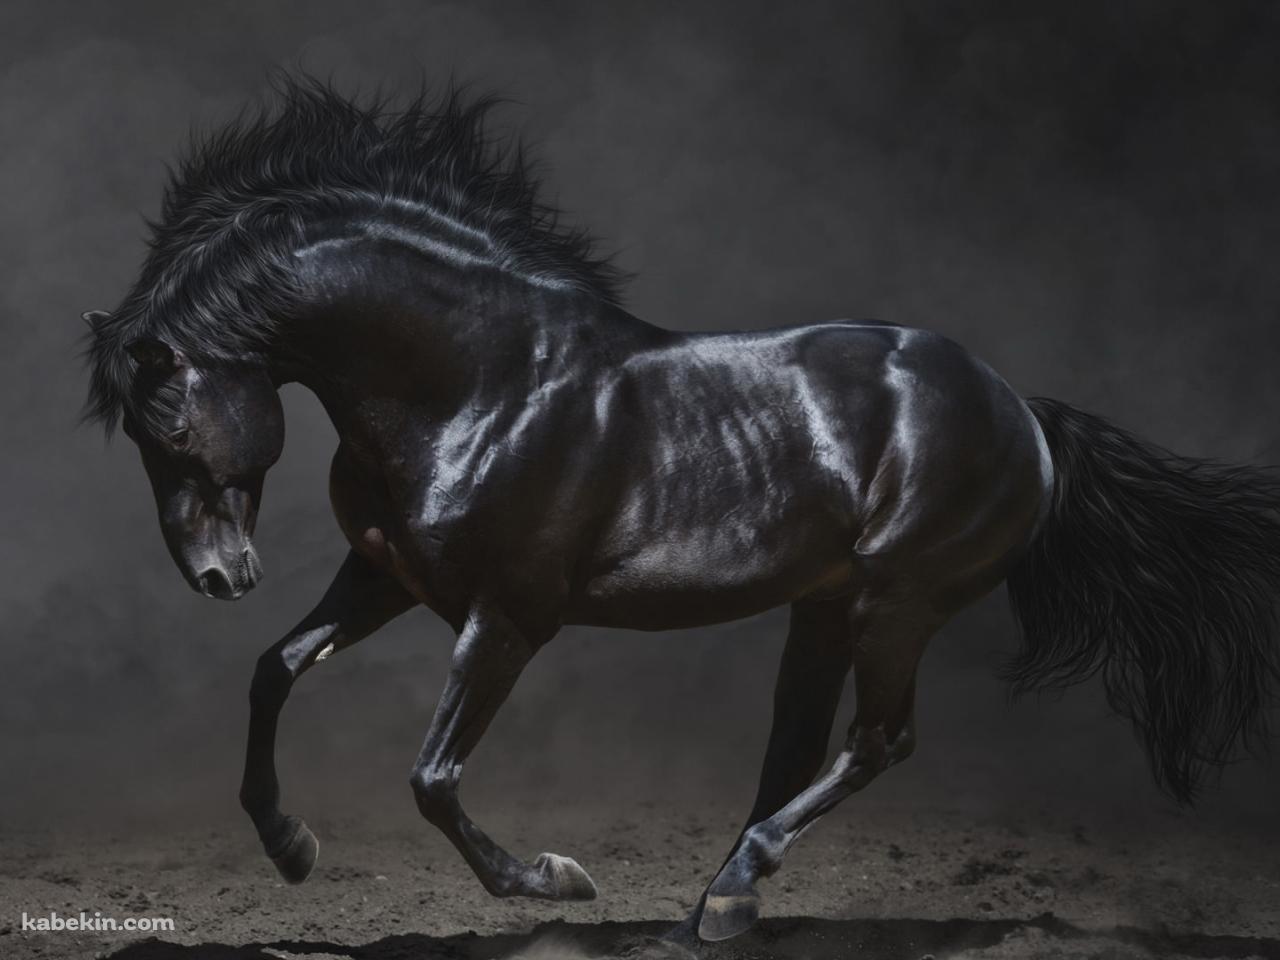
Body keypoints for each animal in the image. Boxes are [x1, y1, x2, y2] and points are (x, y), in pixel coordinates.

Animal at [83, 77, 1280, 944]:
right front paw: (291, 846)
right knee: (798, 747)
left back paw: (734, 891)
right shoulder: (385, 576)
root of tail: (1020, 409)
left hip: (900, 602)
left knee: (877, 741)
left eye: (170, 430)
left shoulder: (509, 616)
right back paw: (718, 903)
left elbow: (430, 777)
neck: (481, 382)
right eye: (138, 441)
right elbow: (275, 670)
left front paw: (554, 882)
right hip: (826, 607)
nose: (217, 578)